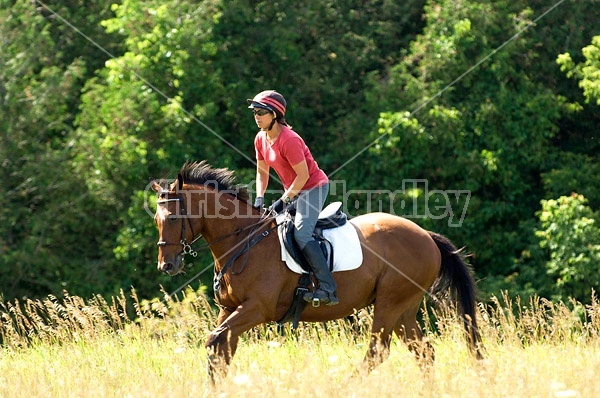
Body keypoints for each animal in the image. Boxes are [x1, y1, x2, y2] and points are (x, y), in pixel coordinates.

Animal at [150, 161, 482, 380]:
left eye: (174, 218)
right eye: (156, 219)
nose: (167, 265)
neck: (244, 241)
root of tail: (426, 235)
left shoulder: (256, 309)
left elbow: (214, 342)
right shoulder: (230, 309)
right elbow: (220, 350)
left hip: (390, 303)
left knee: (377, 350)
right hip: (404, 309)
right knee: (424, 352)